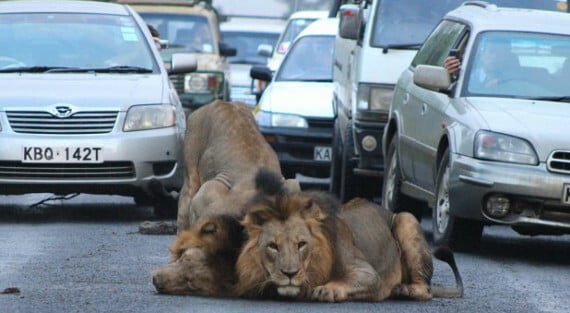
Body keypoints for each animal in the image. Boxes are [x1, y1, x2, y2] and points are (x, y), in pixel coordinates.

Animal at [235, 169, 462, 302]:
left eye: (301, 244)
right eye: (273, 246)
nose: (290, 274)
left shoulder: (368, 274)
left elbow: (353, 279)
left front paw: (328, 290)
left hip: (406, 219)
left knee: (426, 290)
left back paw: (404, 290)